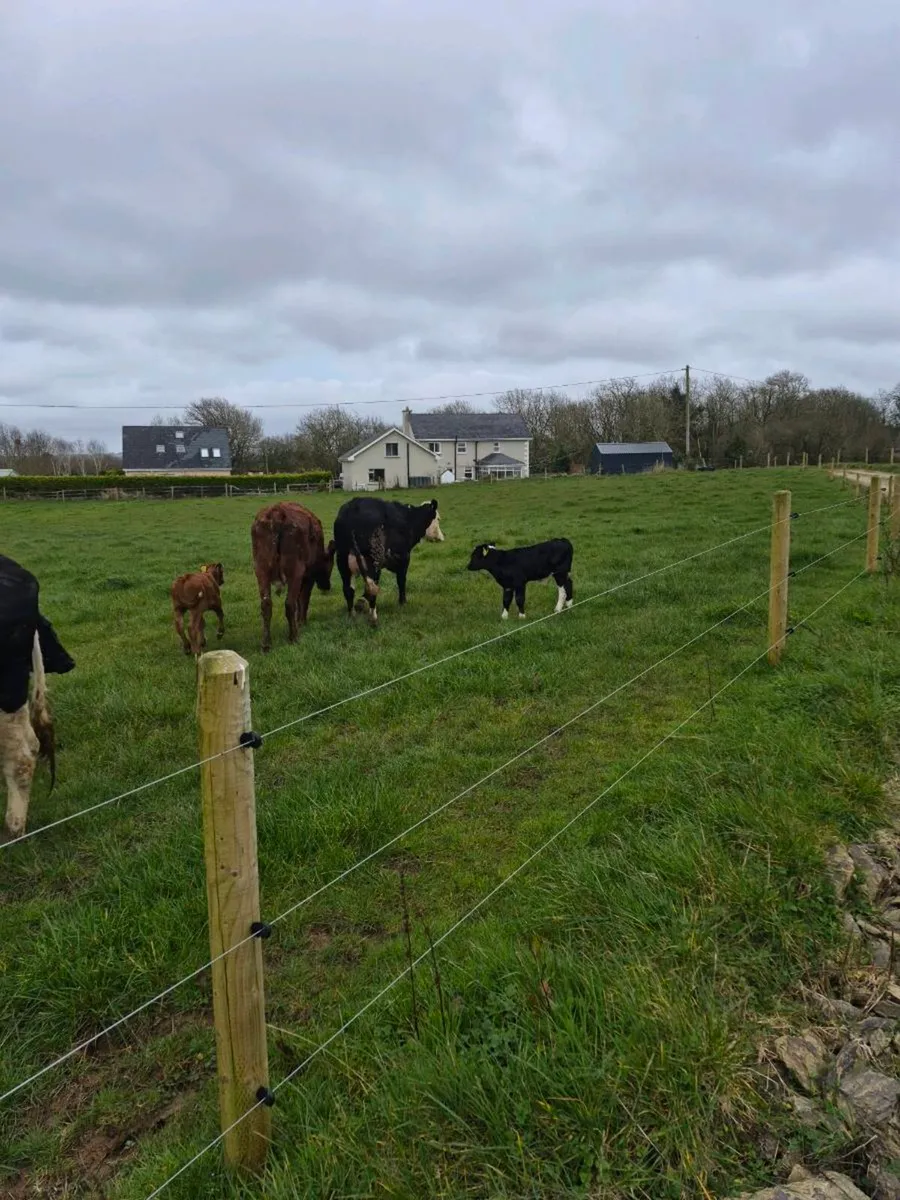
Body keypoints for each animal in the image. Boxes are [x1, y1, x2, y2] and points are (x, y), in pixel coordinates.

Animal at [250, 502, 336, 651]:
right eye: (330, 564)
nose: (326, 586)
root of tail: (276, 512)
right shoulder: (308, 575)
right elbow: (303, 599)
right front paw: (301, 621)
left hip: (261, 569)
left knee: (266, 604)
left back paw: (266, 644)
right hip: (295, 570)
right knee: (289, 603)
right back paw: (294, 637)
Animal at [333, 496, 444, 625]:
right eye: (438, 519)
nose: (441, 538)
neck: (409, 519)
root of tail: (352, 507)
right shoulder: (404, 558)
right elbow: (401, 581)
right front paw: (402, 602)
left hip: (342, 561)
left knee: (348, 590)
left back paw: (352, 616)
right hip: (372, 562)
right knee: (371, 590)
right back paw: (373, 617)